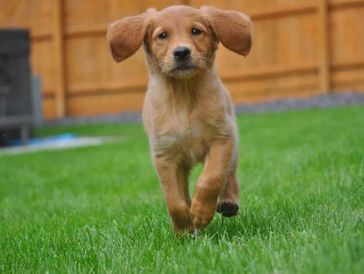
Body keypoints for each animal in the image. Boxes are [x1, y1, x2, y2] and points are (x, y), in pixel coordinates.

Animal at [106, 4, 252, 233]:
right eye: (162, 35)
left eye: (196, 31)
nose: (182, 52)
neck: (184, 95)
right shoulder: (165, 155)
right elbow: (174, 200)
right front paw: (183, 227)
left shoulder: (221, 138)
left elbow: (211, 178)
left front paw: (201, 212)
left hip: (232, 140)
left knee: (229, 173)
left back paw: (228, 201)